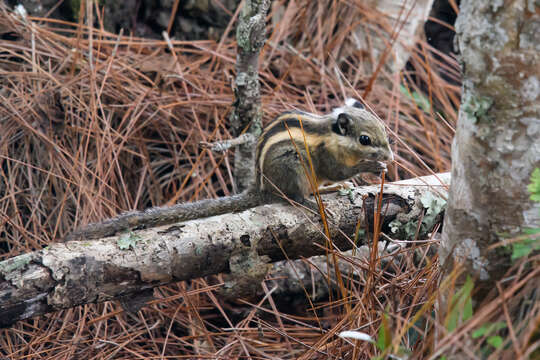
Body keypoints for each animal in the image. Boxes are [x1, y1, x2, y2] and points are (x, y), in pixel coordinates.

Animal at [64, 97, 392, 242]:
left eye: (385, 132)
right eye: (365, 139)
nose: (390, 154)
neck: (332, 136)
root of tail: (261, 186)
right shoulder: (325, 157)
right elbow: (338, 170)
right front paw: (371, 165)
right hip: (292, 166)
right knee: (292, 197)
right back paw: (309, 202)